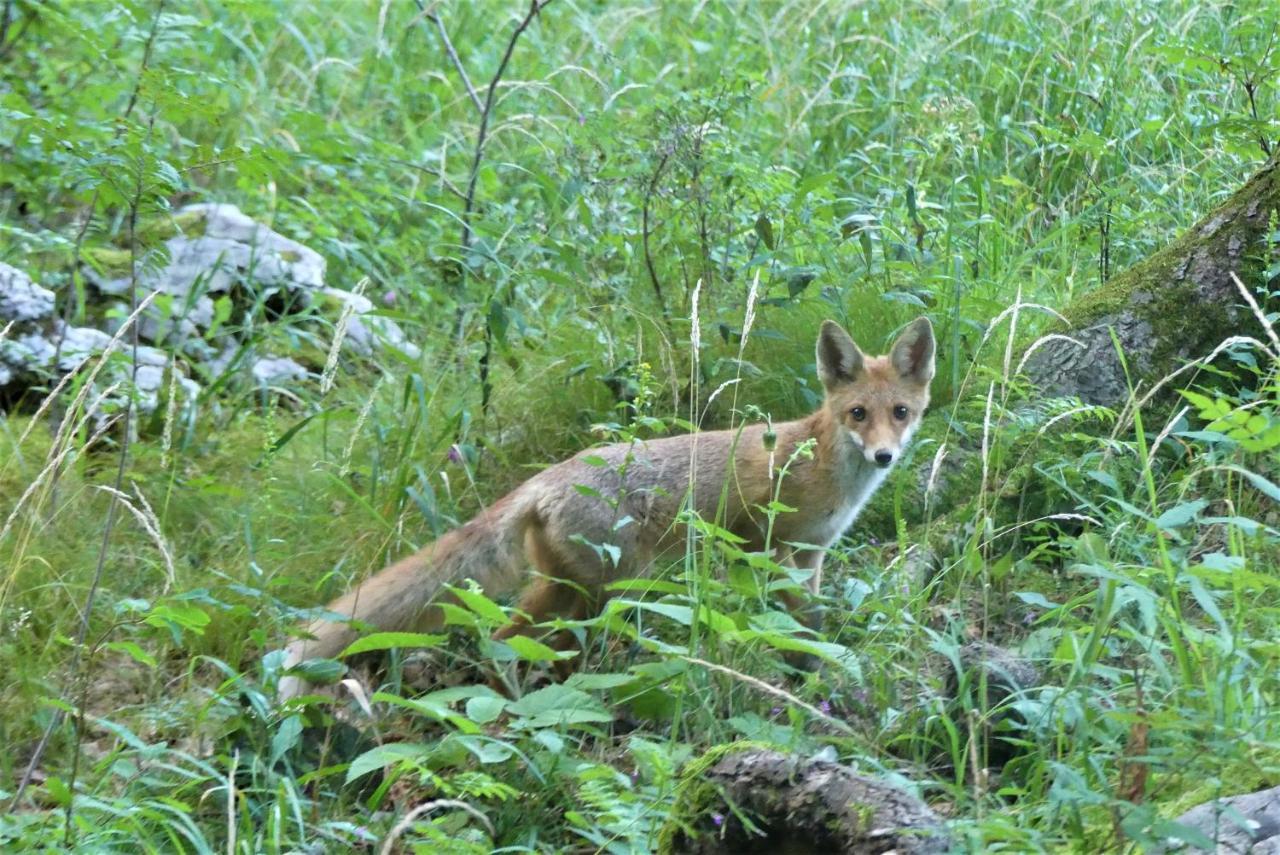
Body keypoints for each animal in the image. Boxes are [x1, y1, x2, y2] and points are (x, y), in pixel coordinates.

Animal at [280, 317, 936, 696]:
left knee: (523, 640)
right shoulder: (763, 550)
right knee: (512, 636)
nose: (883, 456)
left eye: (900, 413)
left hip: (573, 590)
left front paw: (808, 671)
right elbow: (792, 626)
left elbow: (808, 627)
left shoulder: (810, 557)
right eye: (858, 414)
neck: (821, 466)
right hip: (608, 585)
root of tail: (545, 478)